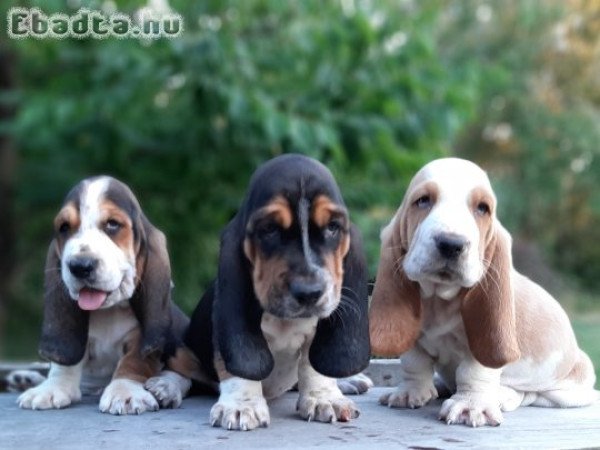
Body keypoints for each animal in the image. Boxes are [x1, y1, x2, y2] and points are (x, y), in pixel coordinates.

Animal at [17, 176, 186, 414]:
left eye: (112, 224)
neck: (108, 311)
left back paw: (166, 387)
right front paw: (52, 388)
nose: (80, 266)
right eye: (64, 227)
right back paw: (26, 377)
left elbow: (133, 361)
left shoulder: (140, 337)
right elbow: (64, 364)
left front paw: (125, 392)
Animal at [145, 156, 370, 432]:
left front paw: (324, 398)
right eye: (270, 229)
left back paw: (349, 380)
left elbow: (312, 364)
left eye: (332, 227)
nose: (309, 293)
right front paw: (242, 405)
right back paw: (165, 386)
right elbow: (233, 366)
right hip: (185, 346)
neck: (285, 321)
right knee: (184, 369)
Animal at [368, 160, 596, 428]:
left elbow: (473, 371)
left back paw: (501, 395)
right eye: (422, 200)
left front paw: (470, 406)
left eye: (482, 208)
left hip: (568, 388)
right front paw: (409, 392)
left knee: (530, 394)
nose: (451, 244)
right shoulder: (413, 337)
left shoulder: (481, 344)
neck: (439, 300)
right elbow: (414, 362)